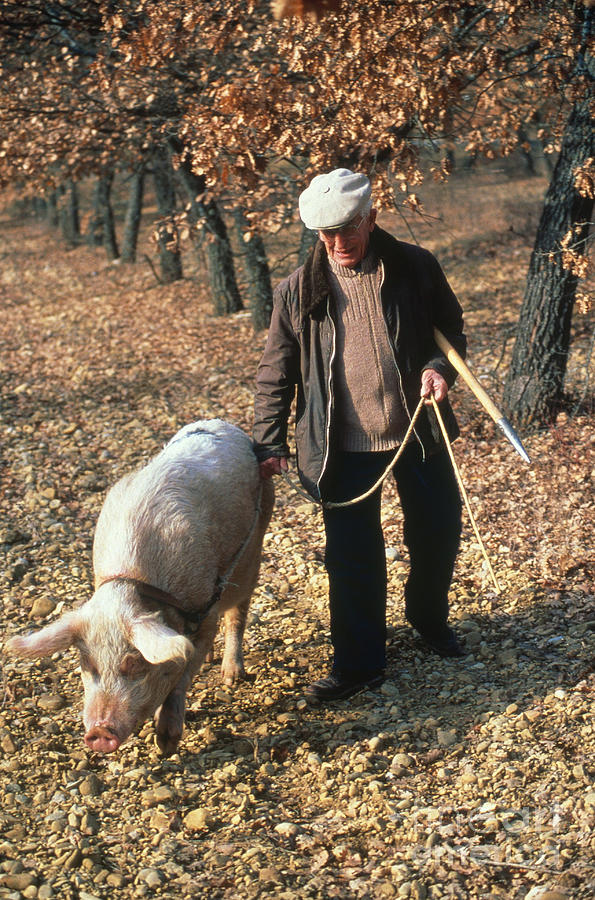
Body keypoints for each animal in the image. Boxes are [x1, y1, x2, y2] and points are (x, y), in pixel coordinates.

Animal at [7, 420, 274, 752]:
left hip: (253, 547)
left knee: (238, 613)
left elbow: (183, 672)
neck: (133, 581)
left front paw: (166, 744)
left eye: (134, 664)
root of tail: (224, 425)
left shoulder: (205, 608)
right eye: (88, 664)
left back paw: (231, 677)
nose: (98, 734)